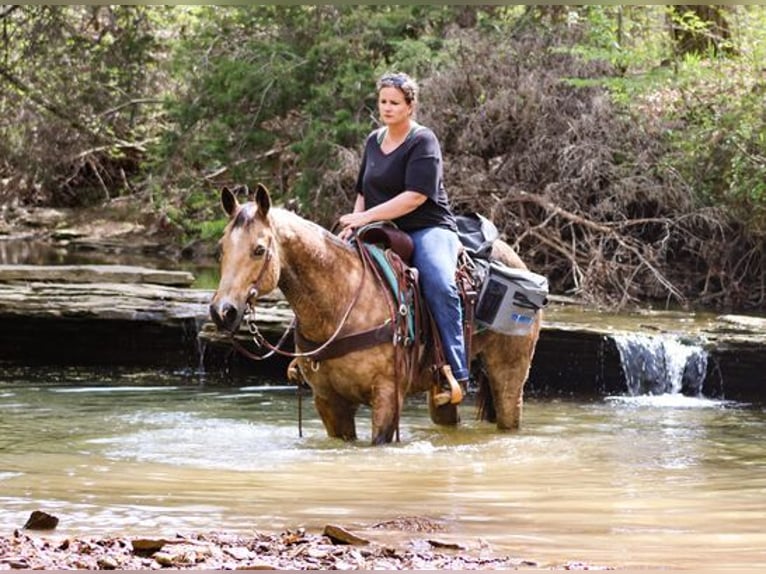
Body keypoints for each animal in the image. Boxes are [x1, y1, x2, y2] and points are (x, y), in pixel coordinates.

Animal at [210, 184, 544, 446]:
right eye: (220, 248)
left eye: (259, 249)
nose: (222, 311)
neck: (340, 302)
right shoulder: (328, 402)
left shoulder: (387, 397)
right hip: (441, 389)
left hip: (510, 372)